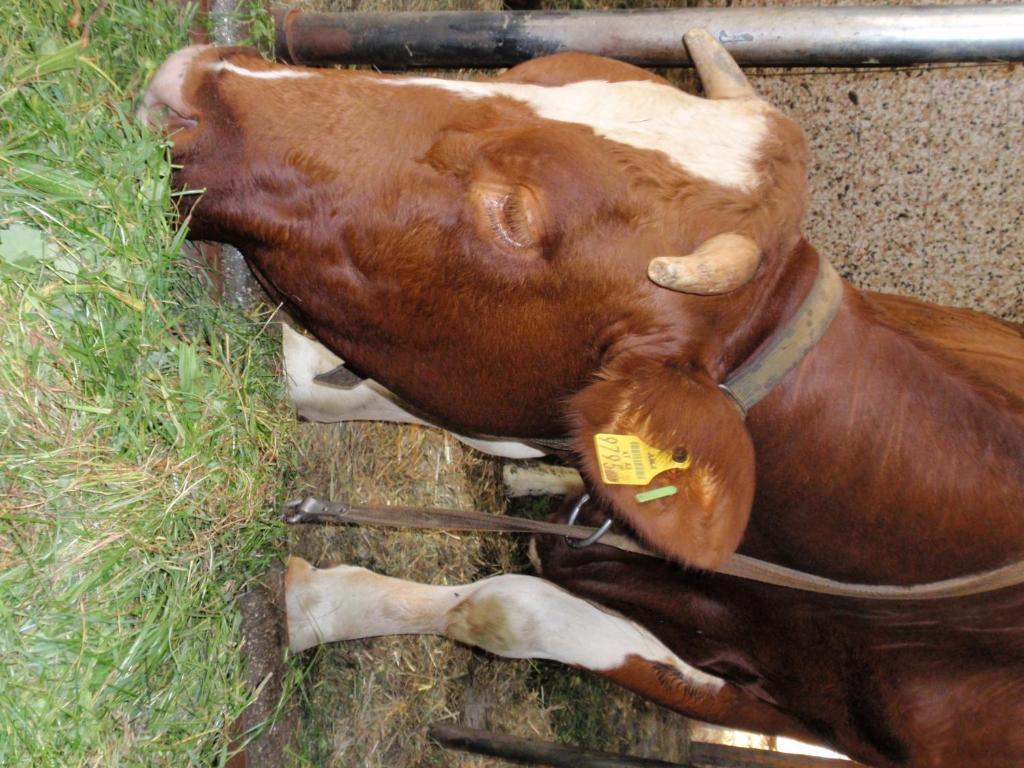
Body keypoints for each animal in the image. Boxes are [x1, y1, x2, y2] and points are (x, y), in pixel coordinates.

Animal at [142, 36, 1024, 768]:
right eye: (539, 70)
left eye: (511, 214)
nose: (198, 77)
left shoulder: (787, 712)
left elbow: (507, 611)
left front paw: (313, 605)